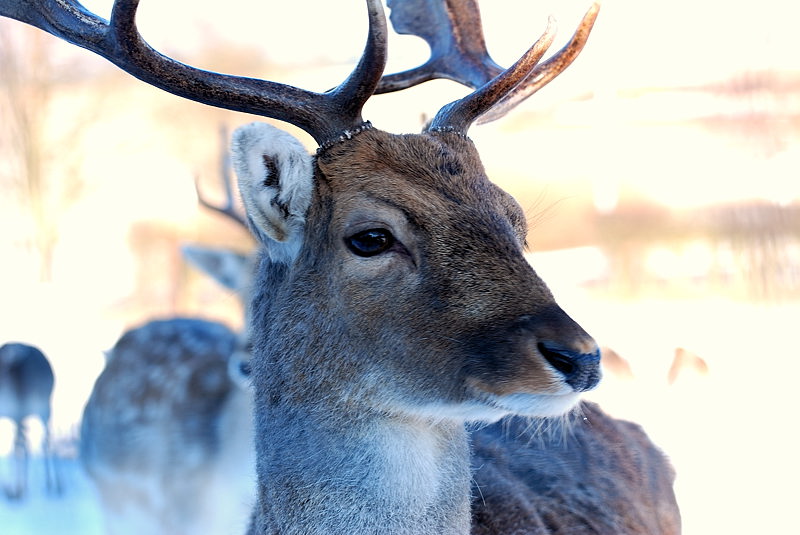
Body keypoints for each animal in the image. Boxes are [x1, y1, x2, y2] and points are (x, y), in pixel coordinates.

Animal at [0, 342, 61, 500]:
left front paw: (16, 490)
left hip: (44, 408)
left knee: (46, 440)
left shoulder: (18, 414)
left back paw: (54, 485)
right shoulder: (16, 417)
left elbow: (16, 449)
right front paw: (17, 489)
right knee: (26, 444)